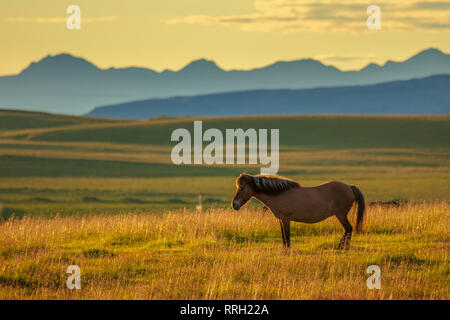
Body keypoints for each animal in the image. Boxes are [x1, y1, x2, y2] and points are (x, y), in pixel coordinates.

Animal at [232, 174, 366, 249]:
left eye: (242, 188)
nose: (234, 205)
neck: (279, 194)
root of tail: (349, 187)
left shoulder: (286, 219)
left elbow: (287, 236)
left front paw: (287, 250)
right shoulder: (281, 220)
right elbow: (283, 236)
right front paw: (284, 249)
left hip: (341, 215)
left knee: (348, 229)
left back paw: (342, 247)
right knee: (348, 230)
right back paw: (344, 247)